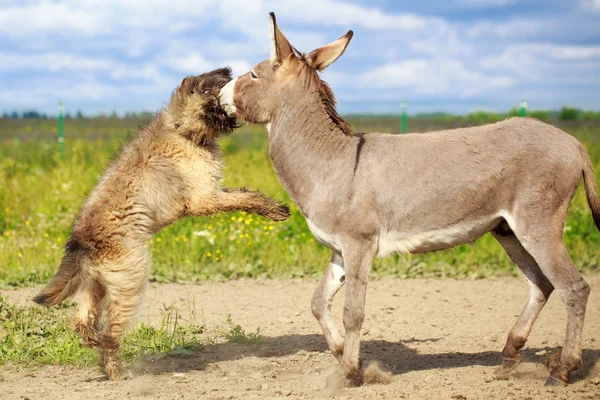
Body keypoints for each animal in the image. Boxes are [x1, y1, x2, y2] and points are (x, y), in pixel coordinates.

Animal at [32, 67, 290, 380]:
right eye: (210, 90)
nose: (234, 97)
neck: (182, 130)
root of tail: (82, 240)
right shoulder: (203, 197)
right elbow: (244, 199)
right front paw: (274, 209)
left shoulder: (214, 191)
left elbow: (242, 193)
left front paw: (273, 207)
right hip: (131, 278)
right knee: (111, 333)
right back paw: (117, 370)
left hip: (99, 284)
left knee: (83, 318)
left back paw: (93, 343)